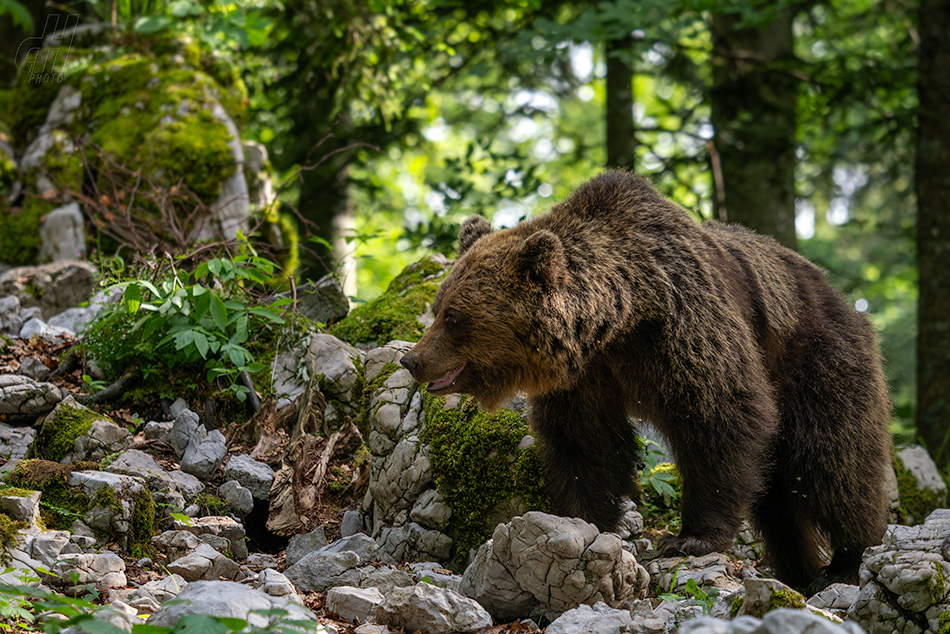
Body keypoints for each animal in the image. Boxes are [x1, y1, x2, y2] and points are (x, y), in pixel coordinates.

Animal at [400, 169, 892, 592]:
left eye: (454, 317)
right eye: (438, 306)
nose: (411, 360)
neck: (619, 319)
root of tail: (837, 293)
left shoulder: (683, 326)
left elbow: (720, 414)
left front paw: (690, 537)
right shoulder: (586, 377)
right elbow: (586, 443)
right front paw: (584, 520)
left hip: (815, 358)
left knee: (832, 461)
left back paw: (846, 560)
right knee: (779, 493)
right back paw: (797, 568)